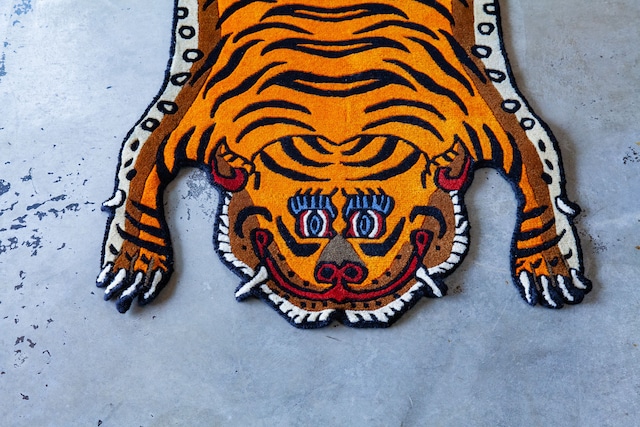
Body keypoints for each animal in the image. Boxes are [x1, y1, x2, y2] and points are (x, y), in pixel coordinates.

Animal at [97, 0, 591, 327]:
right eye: (308, 223)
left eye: (368, 223)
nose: (338, 272)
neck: (337, 113)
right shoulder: (184, 114)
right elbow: (139, 166)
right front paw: (134, 257)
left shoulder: (493, 112)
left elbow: (538, 168)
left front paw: (547, 262)